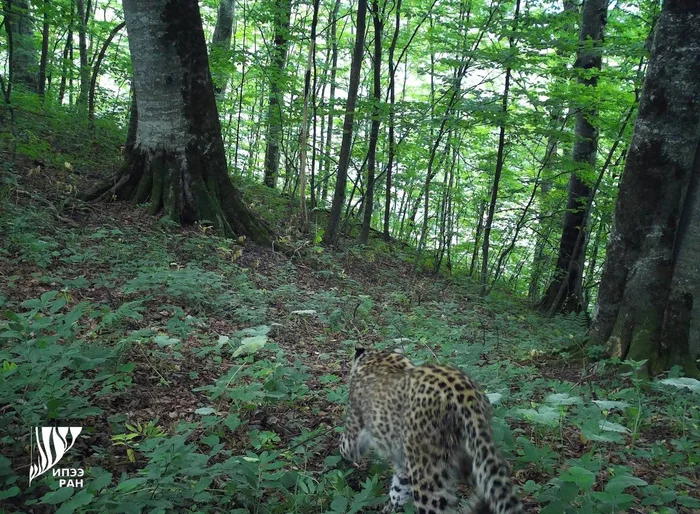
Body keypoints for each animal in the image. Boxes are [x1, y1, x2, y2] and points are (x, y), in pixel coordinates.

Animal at [336, 346, 524, 512]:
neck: (376, 357)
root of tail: (466, 396)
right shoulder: (403, 464)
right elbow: (398, 490)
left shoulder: (354, 426)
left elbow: (345, 446)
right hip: (474, 452)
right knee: (492, 483)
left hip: (427, 472)